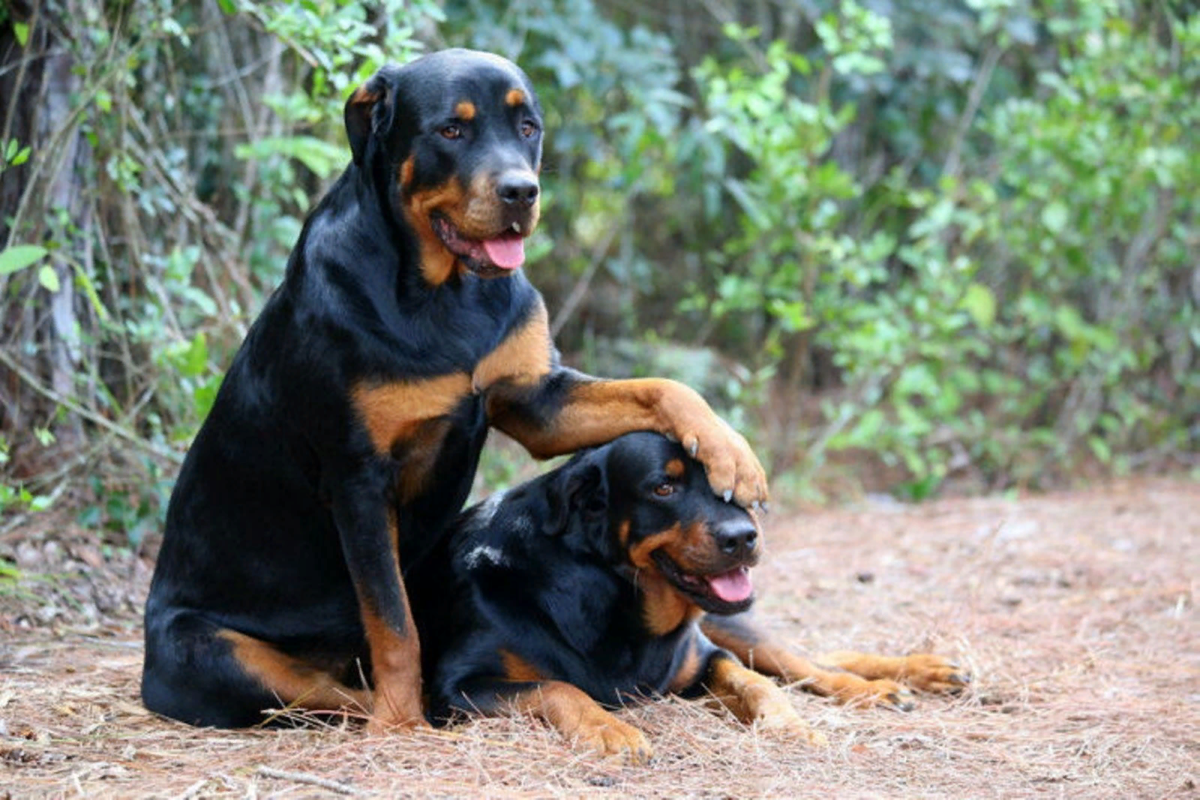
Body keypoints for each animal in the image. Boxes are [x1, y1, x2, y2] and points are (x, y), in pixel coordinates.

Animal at [136, 51, 763, 734]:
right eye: (451, 131)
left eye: (527, 126)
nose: (521, 191)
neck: (445, 294)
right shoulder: (359, 479)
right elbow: (394, 622)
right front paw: (402, 722)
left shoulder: (537, 400)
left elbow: (661, 387)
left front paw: (731, 452)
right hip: (219, 653)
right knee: (324, 688)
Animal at [412, 431, 964, 762]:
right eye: (664, 488)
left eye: (734, 486)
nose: (744, 537)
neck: (610, 596)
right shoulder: (455, 688)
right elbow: (557, 687)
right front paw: (609, 729)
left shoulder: (703, 656)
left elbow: (756, 683)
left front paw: (788, 725)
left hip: (731, 624)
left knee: (806, 663)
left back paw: (903, 679)